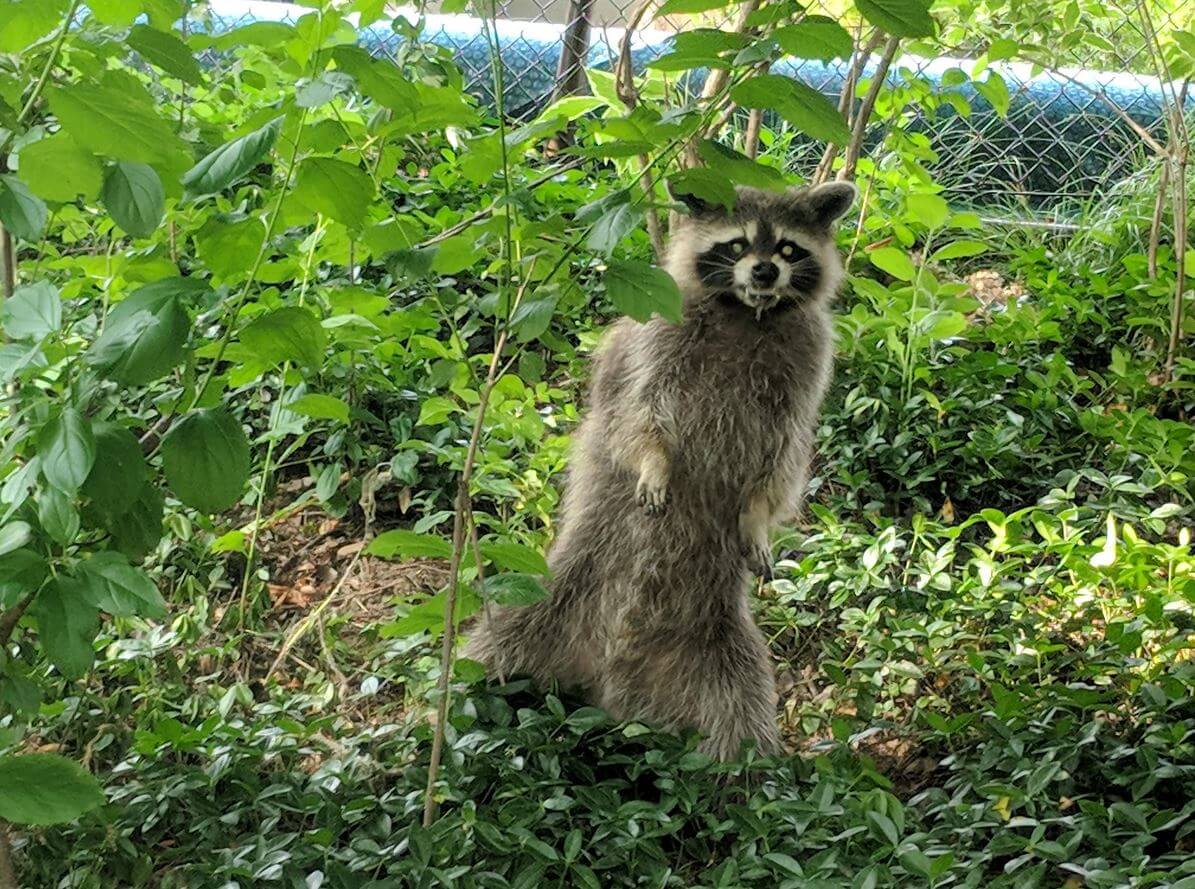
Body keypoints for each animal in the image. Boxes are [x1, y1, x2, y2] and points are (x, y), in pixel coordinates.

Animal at [461, 180, 855, 755]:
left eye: (787, 248)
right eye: (737, 245)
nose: (764, 272)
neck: (746, 314)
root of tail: (608, 683)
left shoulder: (806, 364)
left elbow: (784, 458)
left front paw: (758, 514)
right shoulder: (660, 334)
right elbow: (639, 410)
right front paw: (655, 461)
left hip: (722, 656)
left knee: (742, 721)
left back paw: (752, 763)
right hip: (557, 595)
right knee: (496, 644)